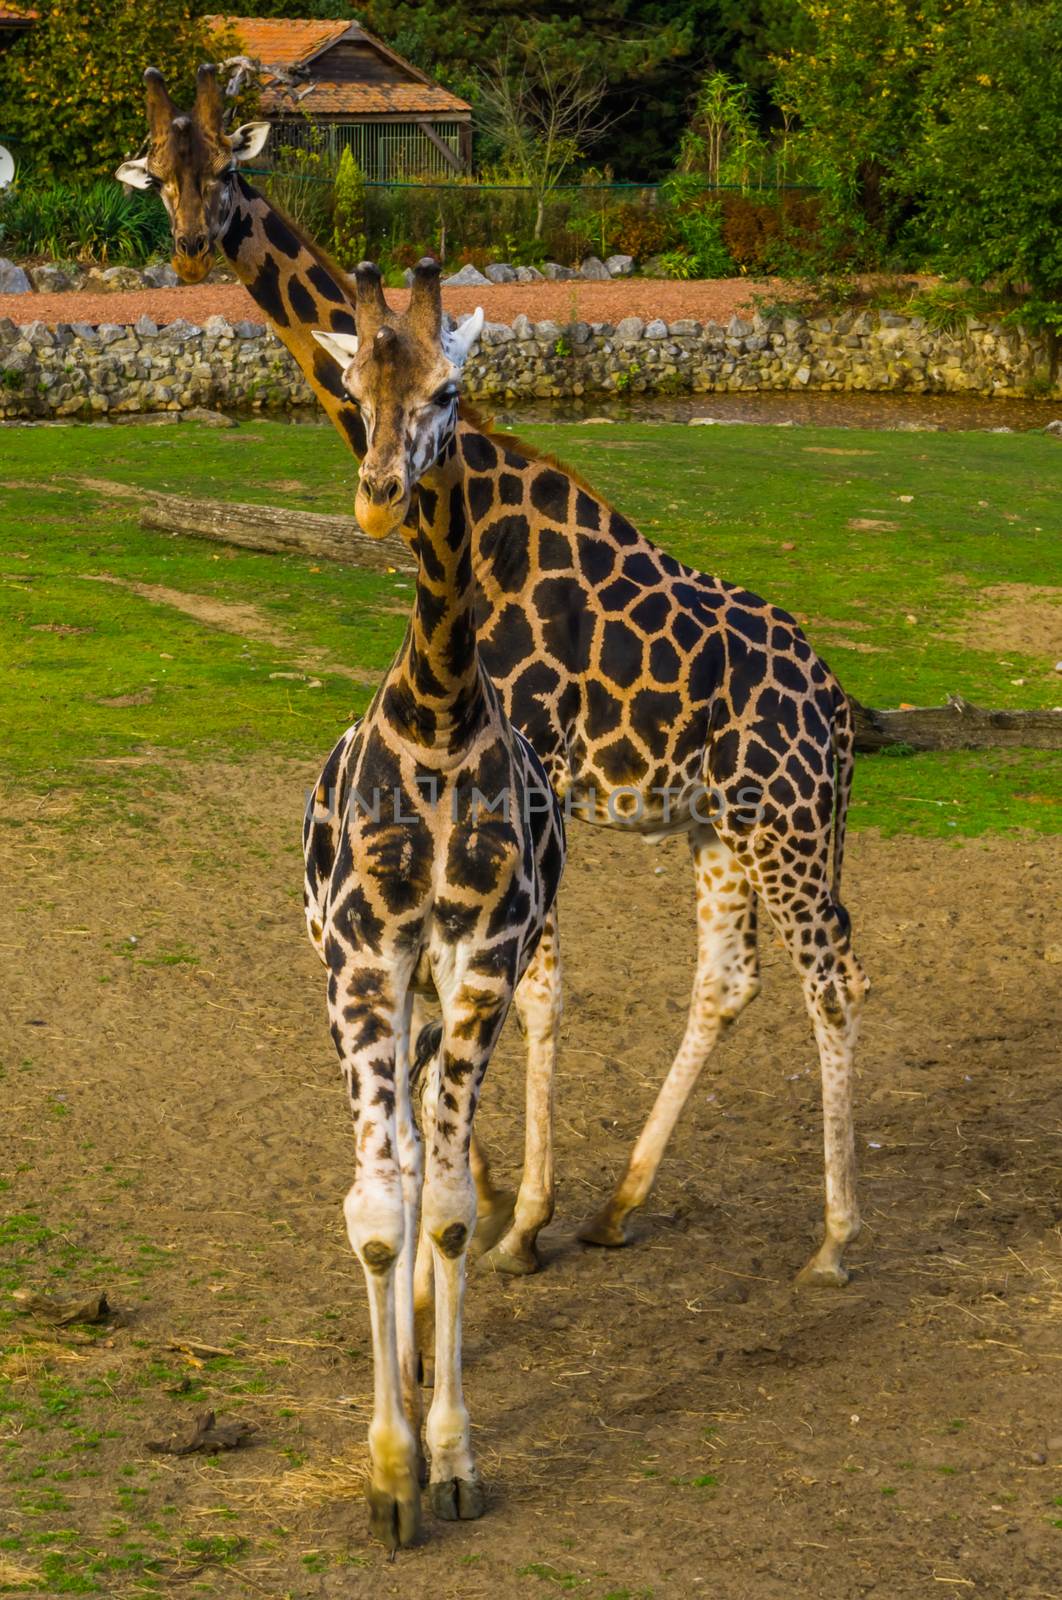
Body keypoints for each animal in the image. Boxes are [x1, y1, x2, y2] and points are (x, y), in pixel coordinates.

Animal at [119, 59, 870, 1286]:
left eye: (228, 166)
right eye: (161, 172)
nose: (189, 246)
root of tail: (841, 715)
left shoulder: (530, 769)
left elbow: (538, 991)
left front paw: (515, 1217)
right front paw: (520, 1198)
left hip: (789, 823)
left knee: (832, 976)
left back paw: (836, 1239)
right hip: (722, 822)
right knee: (730, 976)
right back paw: (622, 1203)